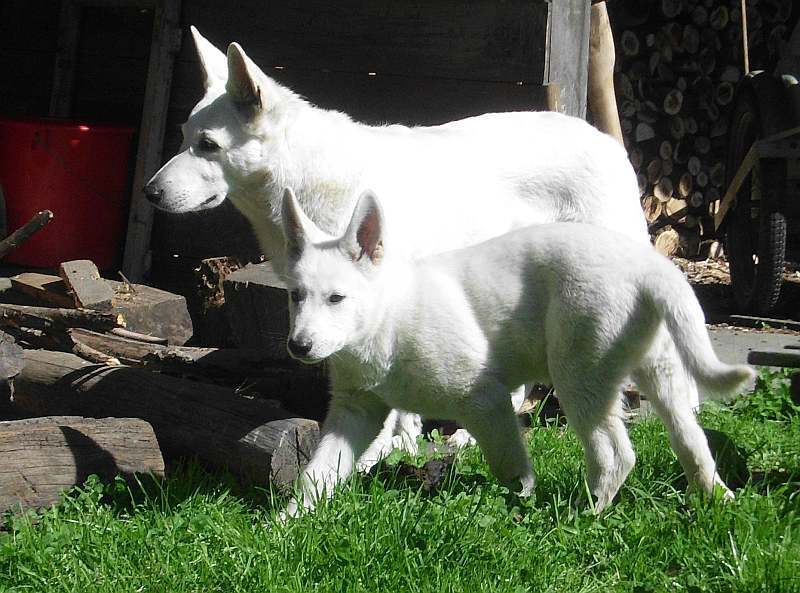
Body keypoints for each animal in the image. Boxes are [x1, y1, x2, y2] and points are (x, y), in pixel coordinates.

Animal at [145, 28, 664, 468]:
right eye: (184, 138)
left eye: (208, 145)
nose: (149, 193)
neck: (302, 176)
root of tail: (602, 138)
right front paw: (400, 444)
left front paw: (379, 450)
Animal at [278, 190, 752, 520]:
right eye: (296, 296)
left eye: (337, 298)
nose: (297, 347)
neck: (386, 319)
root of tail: (650, 266)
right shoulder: (355, 411)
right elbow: (317, 472)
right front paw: (287, 522)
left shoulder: (483, 399)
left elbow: (509, 464)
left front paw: (518, 502)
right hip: (661, 372)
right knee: (691, 440)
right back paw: (716, 498)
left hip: (580, 375)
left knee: (616, 454)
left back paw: (583, 515)